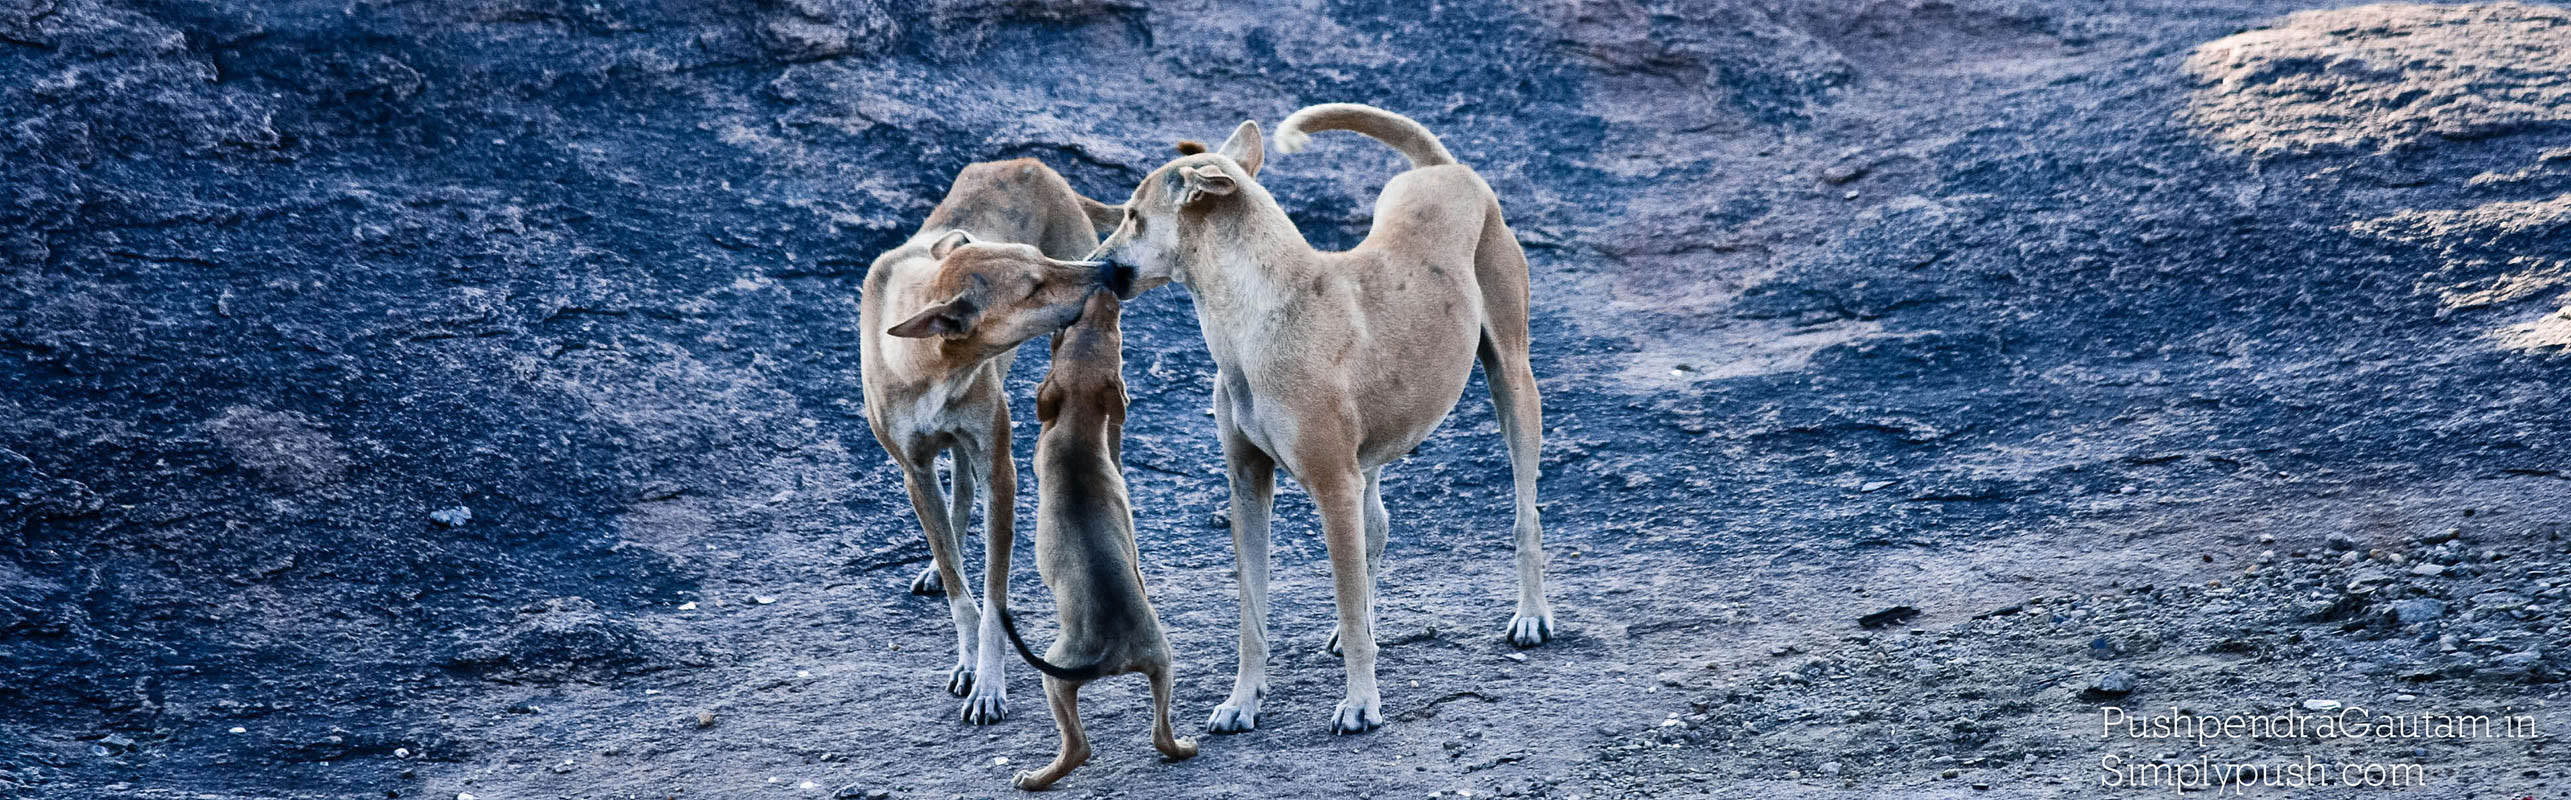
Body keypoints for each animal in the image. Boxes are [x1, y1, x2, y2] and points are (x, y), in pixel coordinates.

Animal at [858, 158, 1120, 725]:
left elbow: (993, 599)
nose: (1110, 270)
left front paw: (988, 683)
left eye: (1041, 258)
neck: (934, 367)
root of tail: (1035, 164)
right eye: (1033, 287)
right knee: (955, 497)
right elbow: (961, 590)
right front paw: (966, 658)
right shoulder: (914, 471)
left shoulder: (1000, 468)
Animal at [1002, 291, 1203, 792]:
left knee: (1079, 748)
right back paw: (1183, 748)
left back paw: (1036, 779)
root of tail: (1115, 652)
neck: (1076, 429)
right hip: (1163, 661)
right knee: (1159, 734)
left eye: (1113, 333)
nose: (1106, 294)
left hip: (1054, 677)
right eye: (1098, 329)